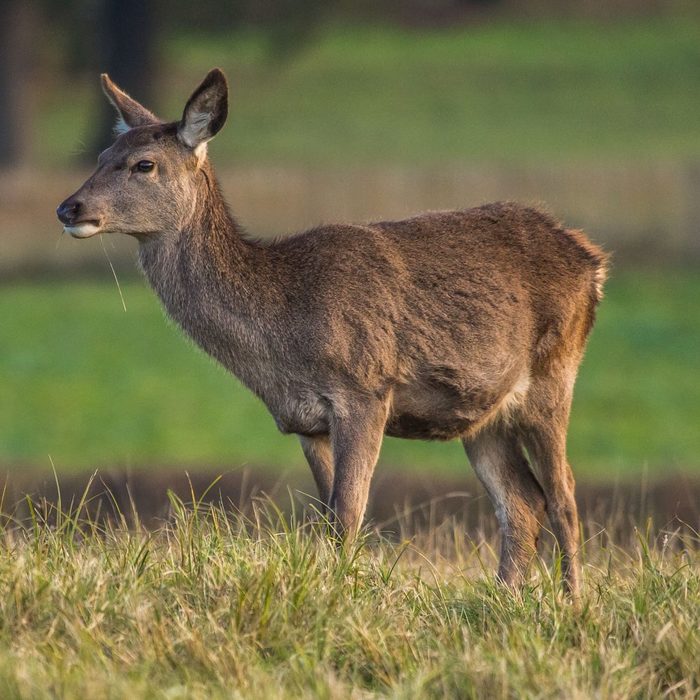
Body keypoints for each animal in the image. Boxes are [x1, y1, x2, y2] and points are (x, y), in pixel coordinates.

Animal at [56, 67, 608, 596]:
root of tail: (592, 260)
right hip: (482, 413)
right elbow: (327, 517)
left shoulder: (365, 390)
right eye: (102, 154)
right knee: (522, 502)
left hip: (555, 371)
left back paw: (572, 602)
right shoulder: (307, 421)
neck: (283, 326)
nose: (69, 208)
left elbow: (348, 515)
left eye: (144, 164)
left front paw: (340, 598)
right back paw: (504, 599)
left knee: (563, 496)